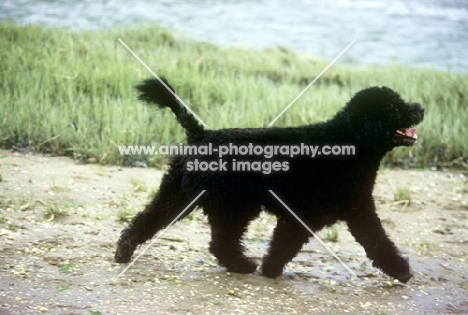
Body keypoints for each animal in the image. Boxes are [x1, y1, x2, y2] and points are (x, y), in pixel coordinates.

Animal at [114, 77, 424, 284]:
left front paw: (400, 270)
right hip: (232, 204)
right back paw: (243, 265)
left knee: (148, 220)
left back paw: (123, 252)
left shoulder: (359, 212)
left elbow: (379, 243)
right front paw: (270, 270)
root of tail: (200, 134)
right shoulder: (301, 216)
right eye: (396, 108)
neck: (351, 142)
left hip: (181, 194)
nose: (420, 107)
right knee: (219, 241)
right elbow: (283, 247)